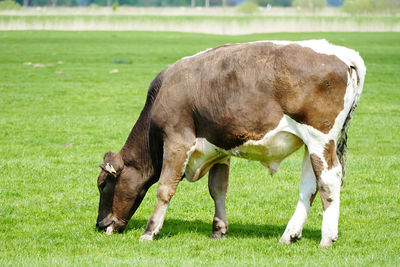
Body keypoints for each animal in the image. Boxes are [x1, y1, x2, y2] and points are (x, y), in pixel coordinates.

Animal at [96, 40, 366, 249]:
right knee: (309, 186)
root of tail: (344, 53)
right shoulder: (219, 147)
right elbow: (218, 189)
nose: (100, 224)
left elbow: (165, 189)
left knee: (328, 180)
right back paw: (290, 235)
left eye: (103, 184)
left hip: (321, 138)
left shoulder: (176, 141)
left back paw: (327, 238)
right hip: (311, 145)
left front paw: (150, 231)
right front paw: (219, 229)